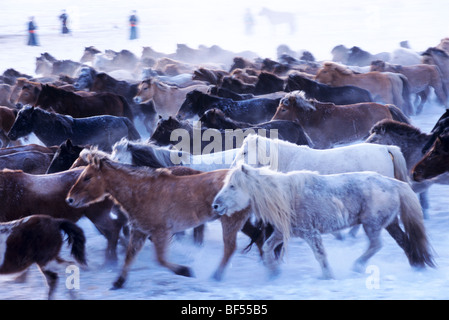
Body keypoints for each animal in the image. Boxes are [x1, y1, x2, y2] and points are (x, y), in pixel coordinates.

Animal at [65, 150, 250, 290]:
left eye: (87, 177)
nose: (70, 199)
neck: (141, 192)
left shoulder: (161, 232)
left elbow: (160, 259)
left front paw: (185, 270)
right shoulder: (139, 231)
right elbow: (129, 256)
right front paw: (118, 282)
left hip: (231, 221)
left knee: (230, 248)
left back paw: (216, 275)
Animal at [213, 164, 434, 278]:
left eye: (233, 186)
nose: (215, 205)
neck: (285, 196)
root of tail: (394, 183)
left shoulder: (311, 233)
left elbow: (320, 255)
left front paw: (328, 275)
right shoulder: (283, 232)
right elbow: (267, 247)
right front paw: (273, 271)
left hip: (372, 225)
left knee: (376, 245)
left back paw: (357, 266)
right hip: (390, 224)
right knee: (404, 242)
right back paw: (417, 265)